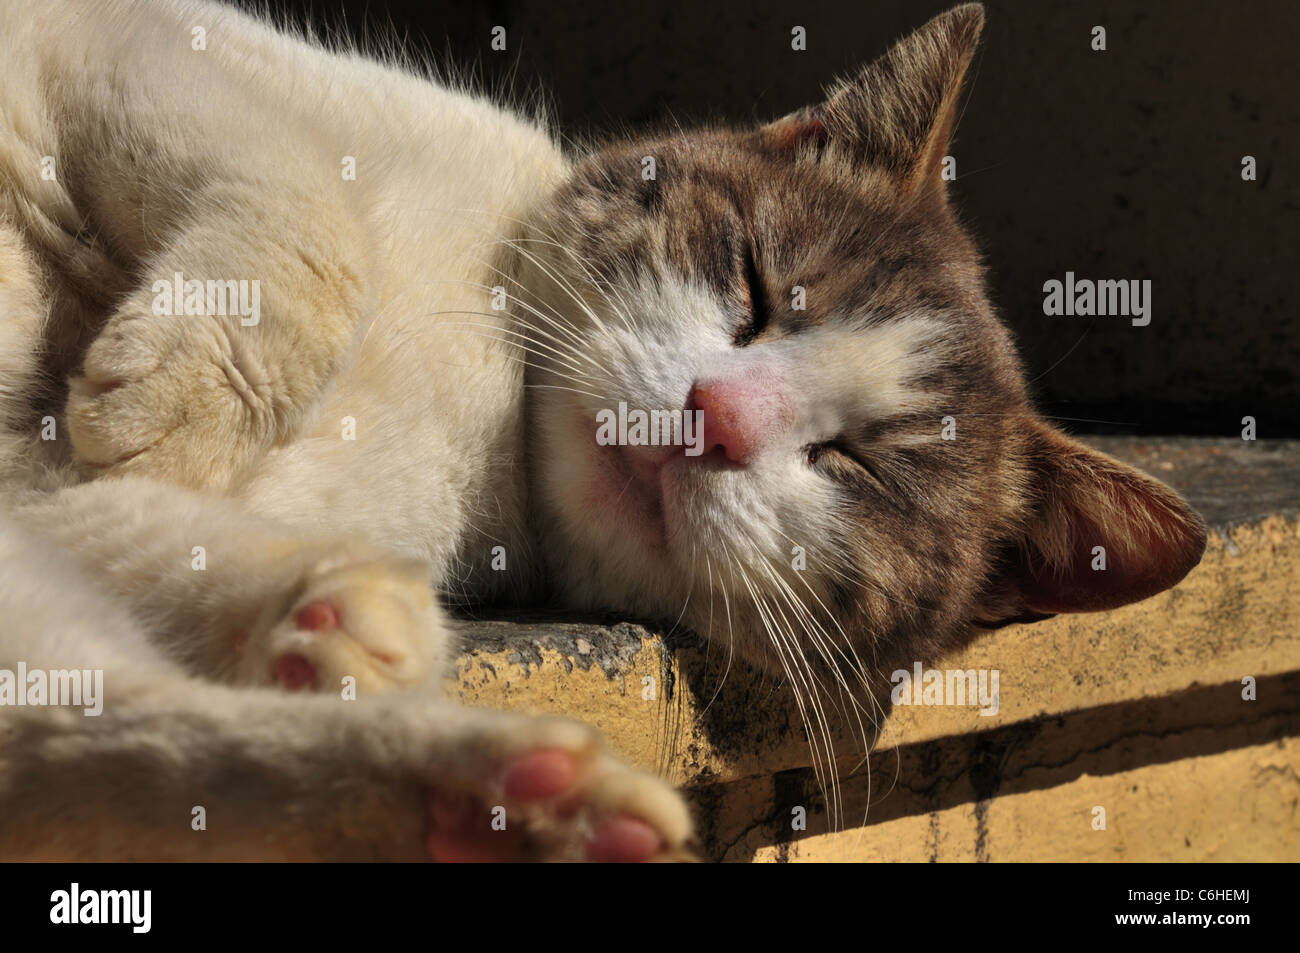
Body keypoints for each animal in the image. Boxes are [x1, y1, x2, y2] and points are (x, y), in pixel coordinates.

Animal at [0, 0, 1206, 863]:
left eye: (858, 466)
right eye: (756, 287)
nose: (717, 416)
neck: (484, 408)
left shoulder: (55, 515)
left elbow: (150, 533)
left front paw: (335, 616)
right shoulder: (144, 45)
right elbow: (310, 213)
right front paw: (177, 404)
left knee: (95, 735)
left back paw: (511, 805)